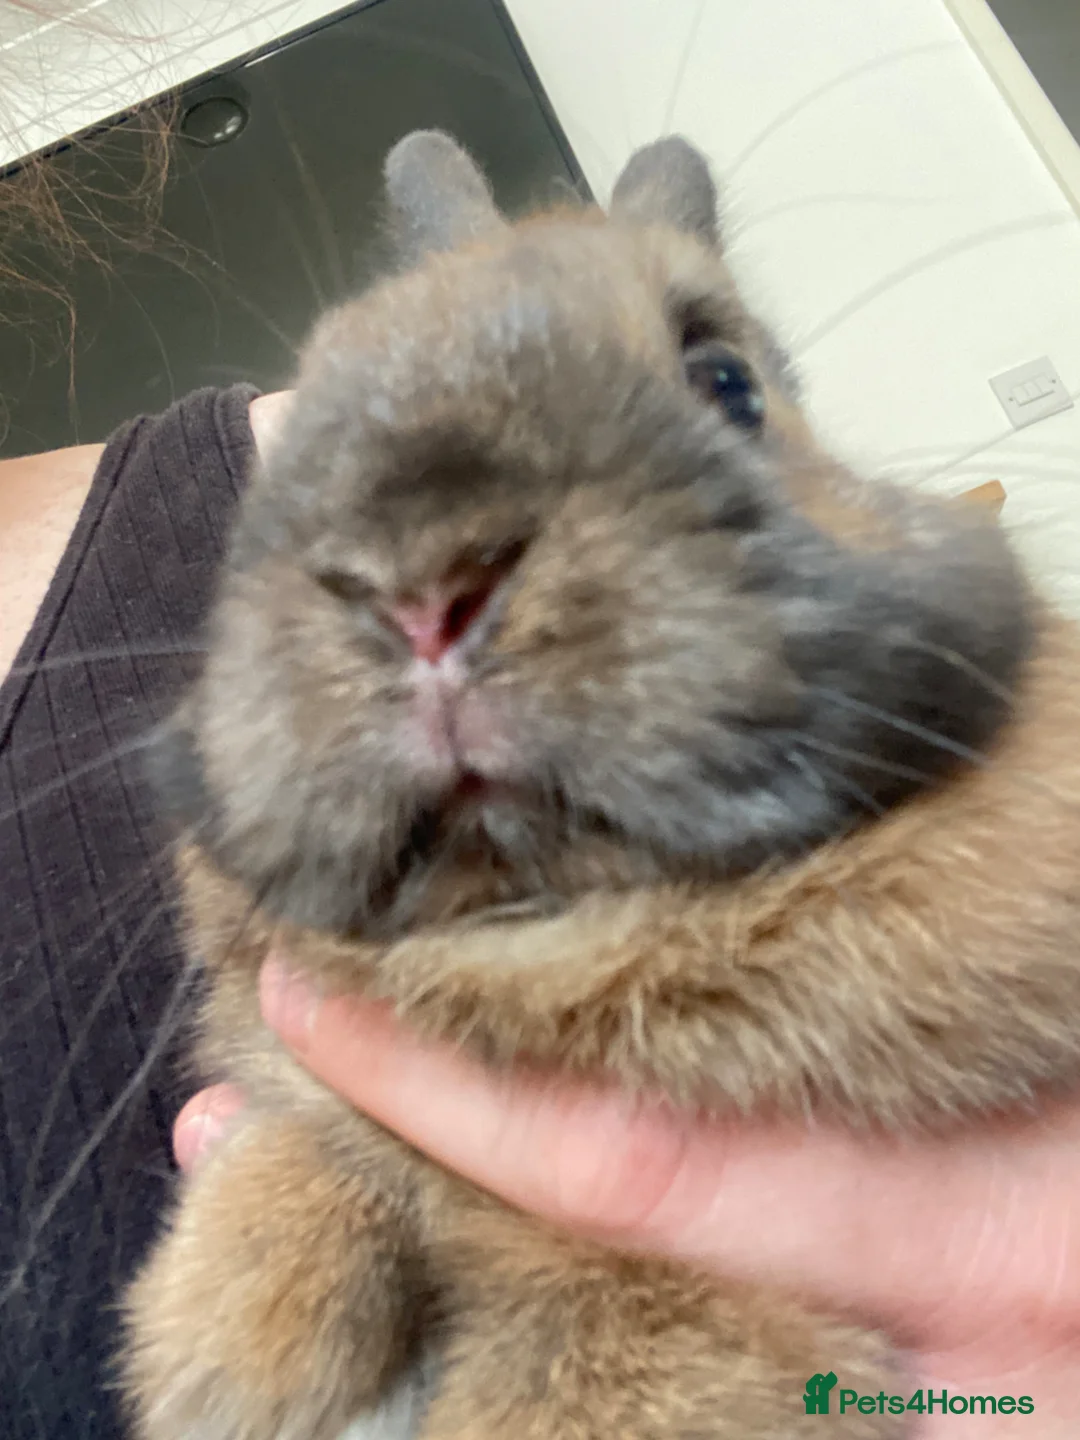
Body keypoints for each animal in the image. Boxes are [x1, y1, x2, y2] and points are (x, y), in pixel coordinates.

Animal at [120, 129, 1080, 1440]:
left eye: (727, 381)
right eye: (305, 416)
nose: (423, 588)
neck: (545, 931)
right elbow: (306, 1161)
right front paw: (240, 1356)